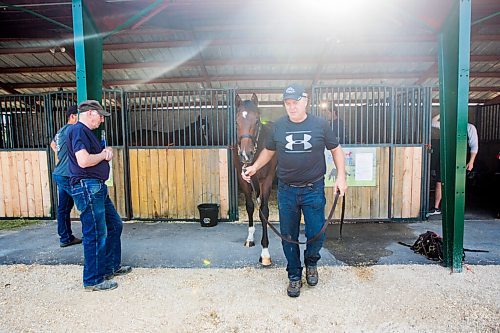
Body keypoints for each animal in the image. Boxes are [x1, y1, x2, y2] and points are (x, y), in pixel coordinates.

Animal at [234, 92, 278, 264]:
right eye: (236, 121)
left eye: (257, 121)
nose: (246, 155)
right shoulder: (244, 180)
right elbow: (250, 207)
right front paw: (250, 238)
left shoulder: (266, 180)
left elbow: (264, 211)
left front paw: (265, 253)